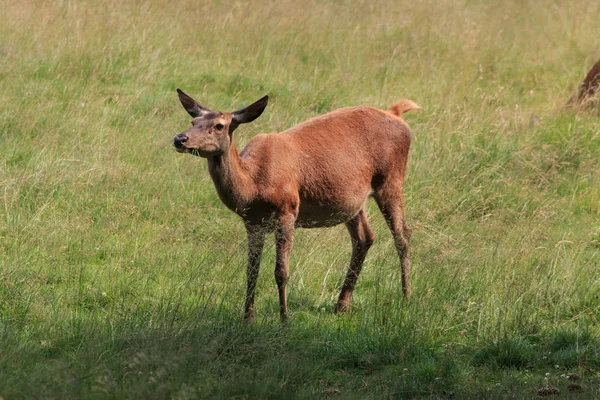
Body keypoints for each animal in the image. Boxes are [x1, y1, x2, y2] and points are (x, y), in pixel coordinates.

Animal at [171, 88, 420, 322]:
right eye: (193, 121)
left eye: (219, 125)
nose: (180, 139)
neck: (253, 186)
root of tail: (397, 114)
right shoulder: (252, 222)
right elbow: (251, 270)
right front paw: (248, 317)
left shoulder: (287, 210)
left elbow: (281, 272)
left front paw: (284, 319)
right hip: (354, 202)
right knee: (364, 238)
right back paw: (341, 305)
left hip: (391, 179)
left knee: (402, 234)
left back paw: (406, 296)